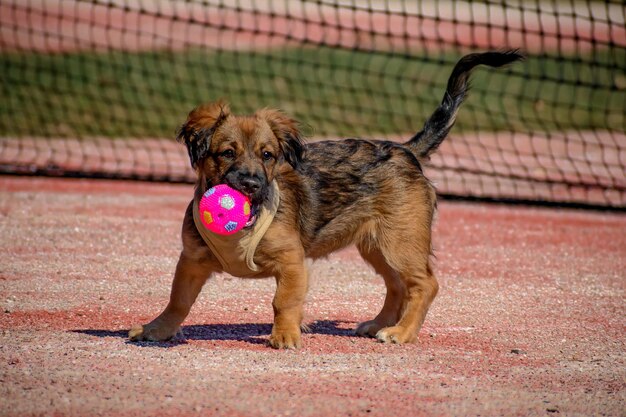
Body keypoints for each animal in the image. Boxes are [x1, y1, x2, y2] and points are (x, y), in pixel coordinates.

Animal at [128, 50, 520, 346]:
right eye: (226, 153)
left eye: (268, 155)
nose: (252, 184)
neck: (248, 219)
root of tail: (406, 150)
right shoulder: (192, 260)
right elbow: (178, 300)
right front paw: (157, 329)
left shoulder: (292, 261)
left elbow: (284, 301)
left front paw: (285, 335)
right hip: (377, 245)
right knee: (397, 285)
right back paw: (379, 324)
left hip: (401, 241)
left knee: (424, 284)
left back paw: (401, 332)